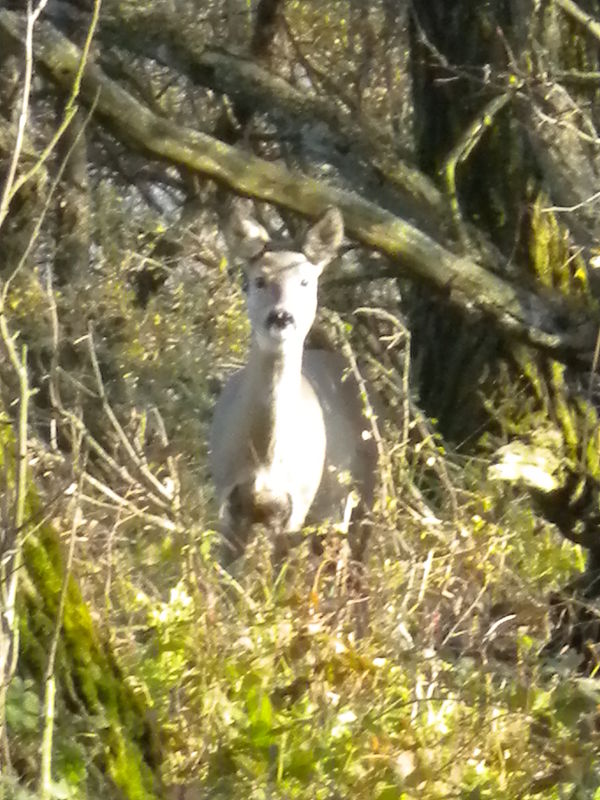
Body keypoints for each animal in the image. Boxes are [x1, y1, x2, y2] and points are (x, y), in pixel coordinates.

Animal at [207, 206, 376, 568]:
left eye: (305, 281)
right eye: (259, 280)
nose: (281, 317)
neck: (266, 460)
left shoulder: (295, 508)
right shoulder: (228, 500)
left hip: (365, 498)